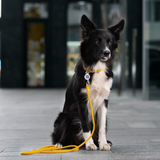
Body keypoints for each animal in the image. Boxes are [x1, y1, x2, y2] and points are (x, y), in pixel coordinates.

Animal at [52, 14, 124, 151]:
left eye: (109, 42)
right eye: (97, 41)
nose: (107, 52)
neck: (96, 67)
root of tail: (76, 142)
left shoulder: (104, 101)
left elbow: (101, 127)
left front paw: (102, 143)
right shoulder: (82, 101)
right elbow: (85, 125)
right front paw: (90, 144)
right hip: (64, 117)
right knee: (61, 134)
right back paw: (60, 144)